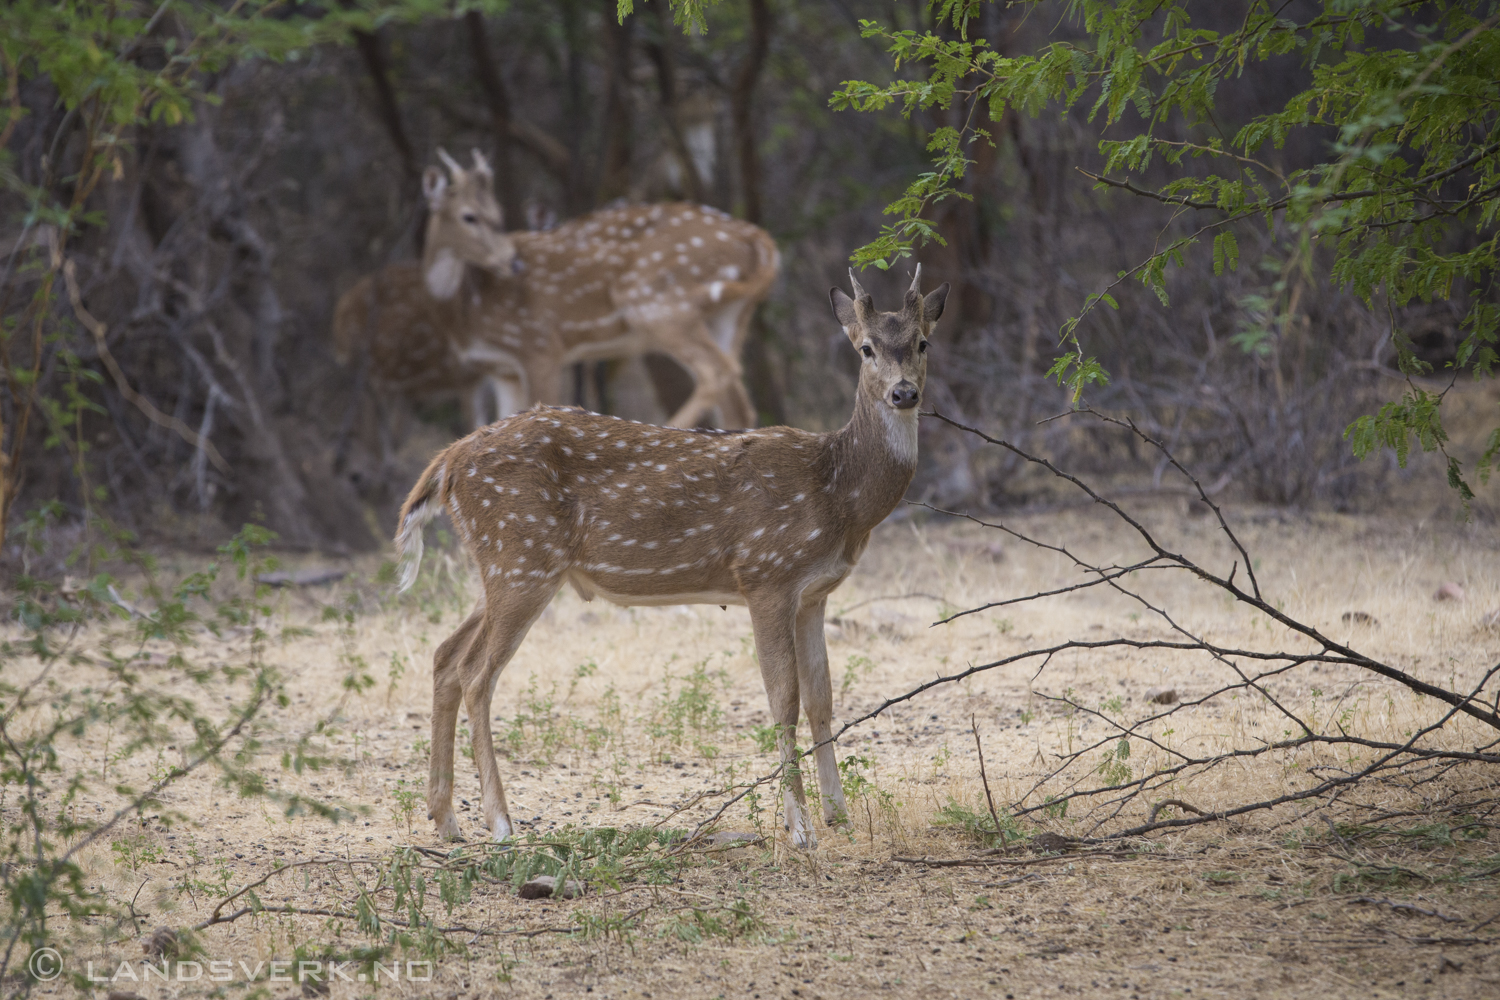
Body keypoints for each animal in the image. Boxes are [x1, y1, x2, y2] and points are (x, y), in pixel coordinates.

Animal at [330, 149, 780, 431]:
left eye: (498, 215)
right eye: (470, 216)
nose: (511, 261)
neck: (464, 310)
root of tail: (760, 242)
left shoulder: (540, 345)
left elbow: (537, 409)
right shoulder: (498, 367)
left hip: (657, 302)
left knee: (718, 373)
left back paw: (667, 431)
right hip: (727, 314)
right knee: (737, 397)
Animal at [393, 263, 942, 845]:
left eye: (922, 342)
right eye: (865, 349)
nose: (904, 393)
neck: (838, 492)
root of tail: (449, 460)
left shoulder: (815, 593)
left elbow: (822, 699)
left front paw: (839, 816)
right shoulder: (766, 574)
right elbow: (782, 700)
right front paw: (800, 829)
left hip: (500, 566)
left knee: (444, 656)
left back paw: (446, 819)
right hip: (521, 558)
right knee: (477, 673)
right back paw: (499, 822)